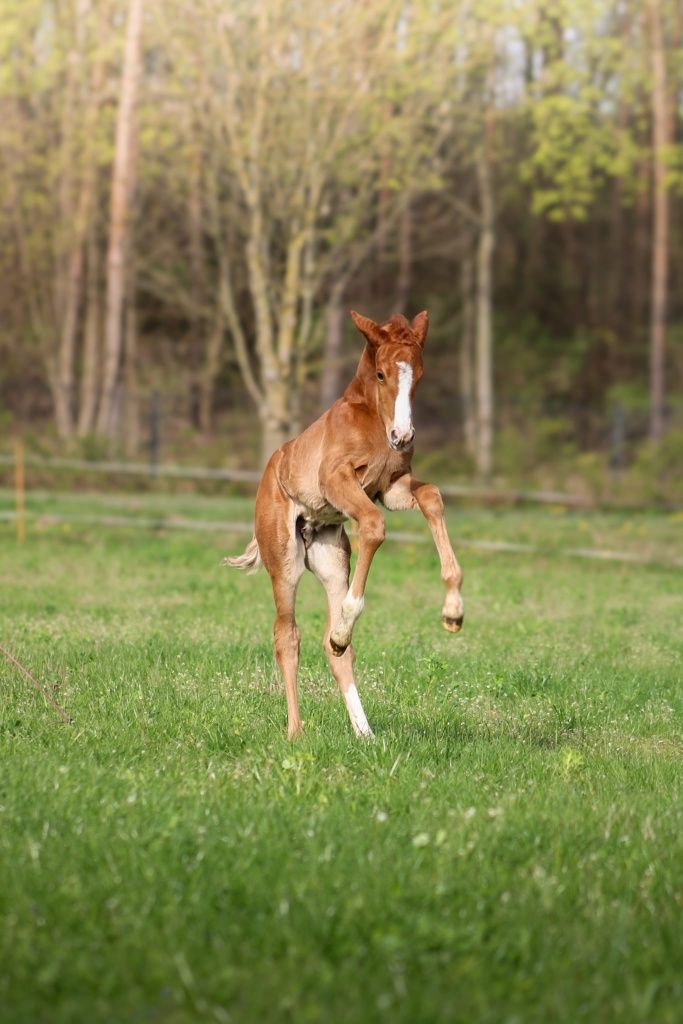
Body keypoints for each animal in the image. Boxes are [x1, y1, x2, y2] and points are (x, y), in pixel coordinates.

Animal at [227, 307, 466, 741]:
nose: (403, 435)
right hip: (284, 563)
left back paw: (364, 732)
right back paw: (295, 730)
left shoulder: (393, 486)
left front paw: (453, 612)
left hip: (332, 559)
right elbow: (373, 524)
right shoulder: (337, 480)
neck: (372, 421)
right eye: (381, 374)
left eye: (419, 375)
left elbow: (432, 497)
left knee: (334, 649)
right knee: (287, 636)